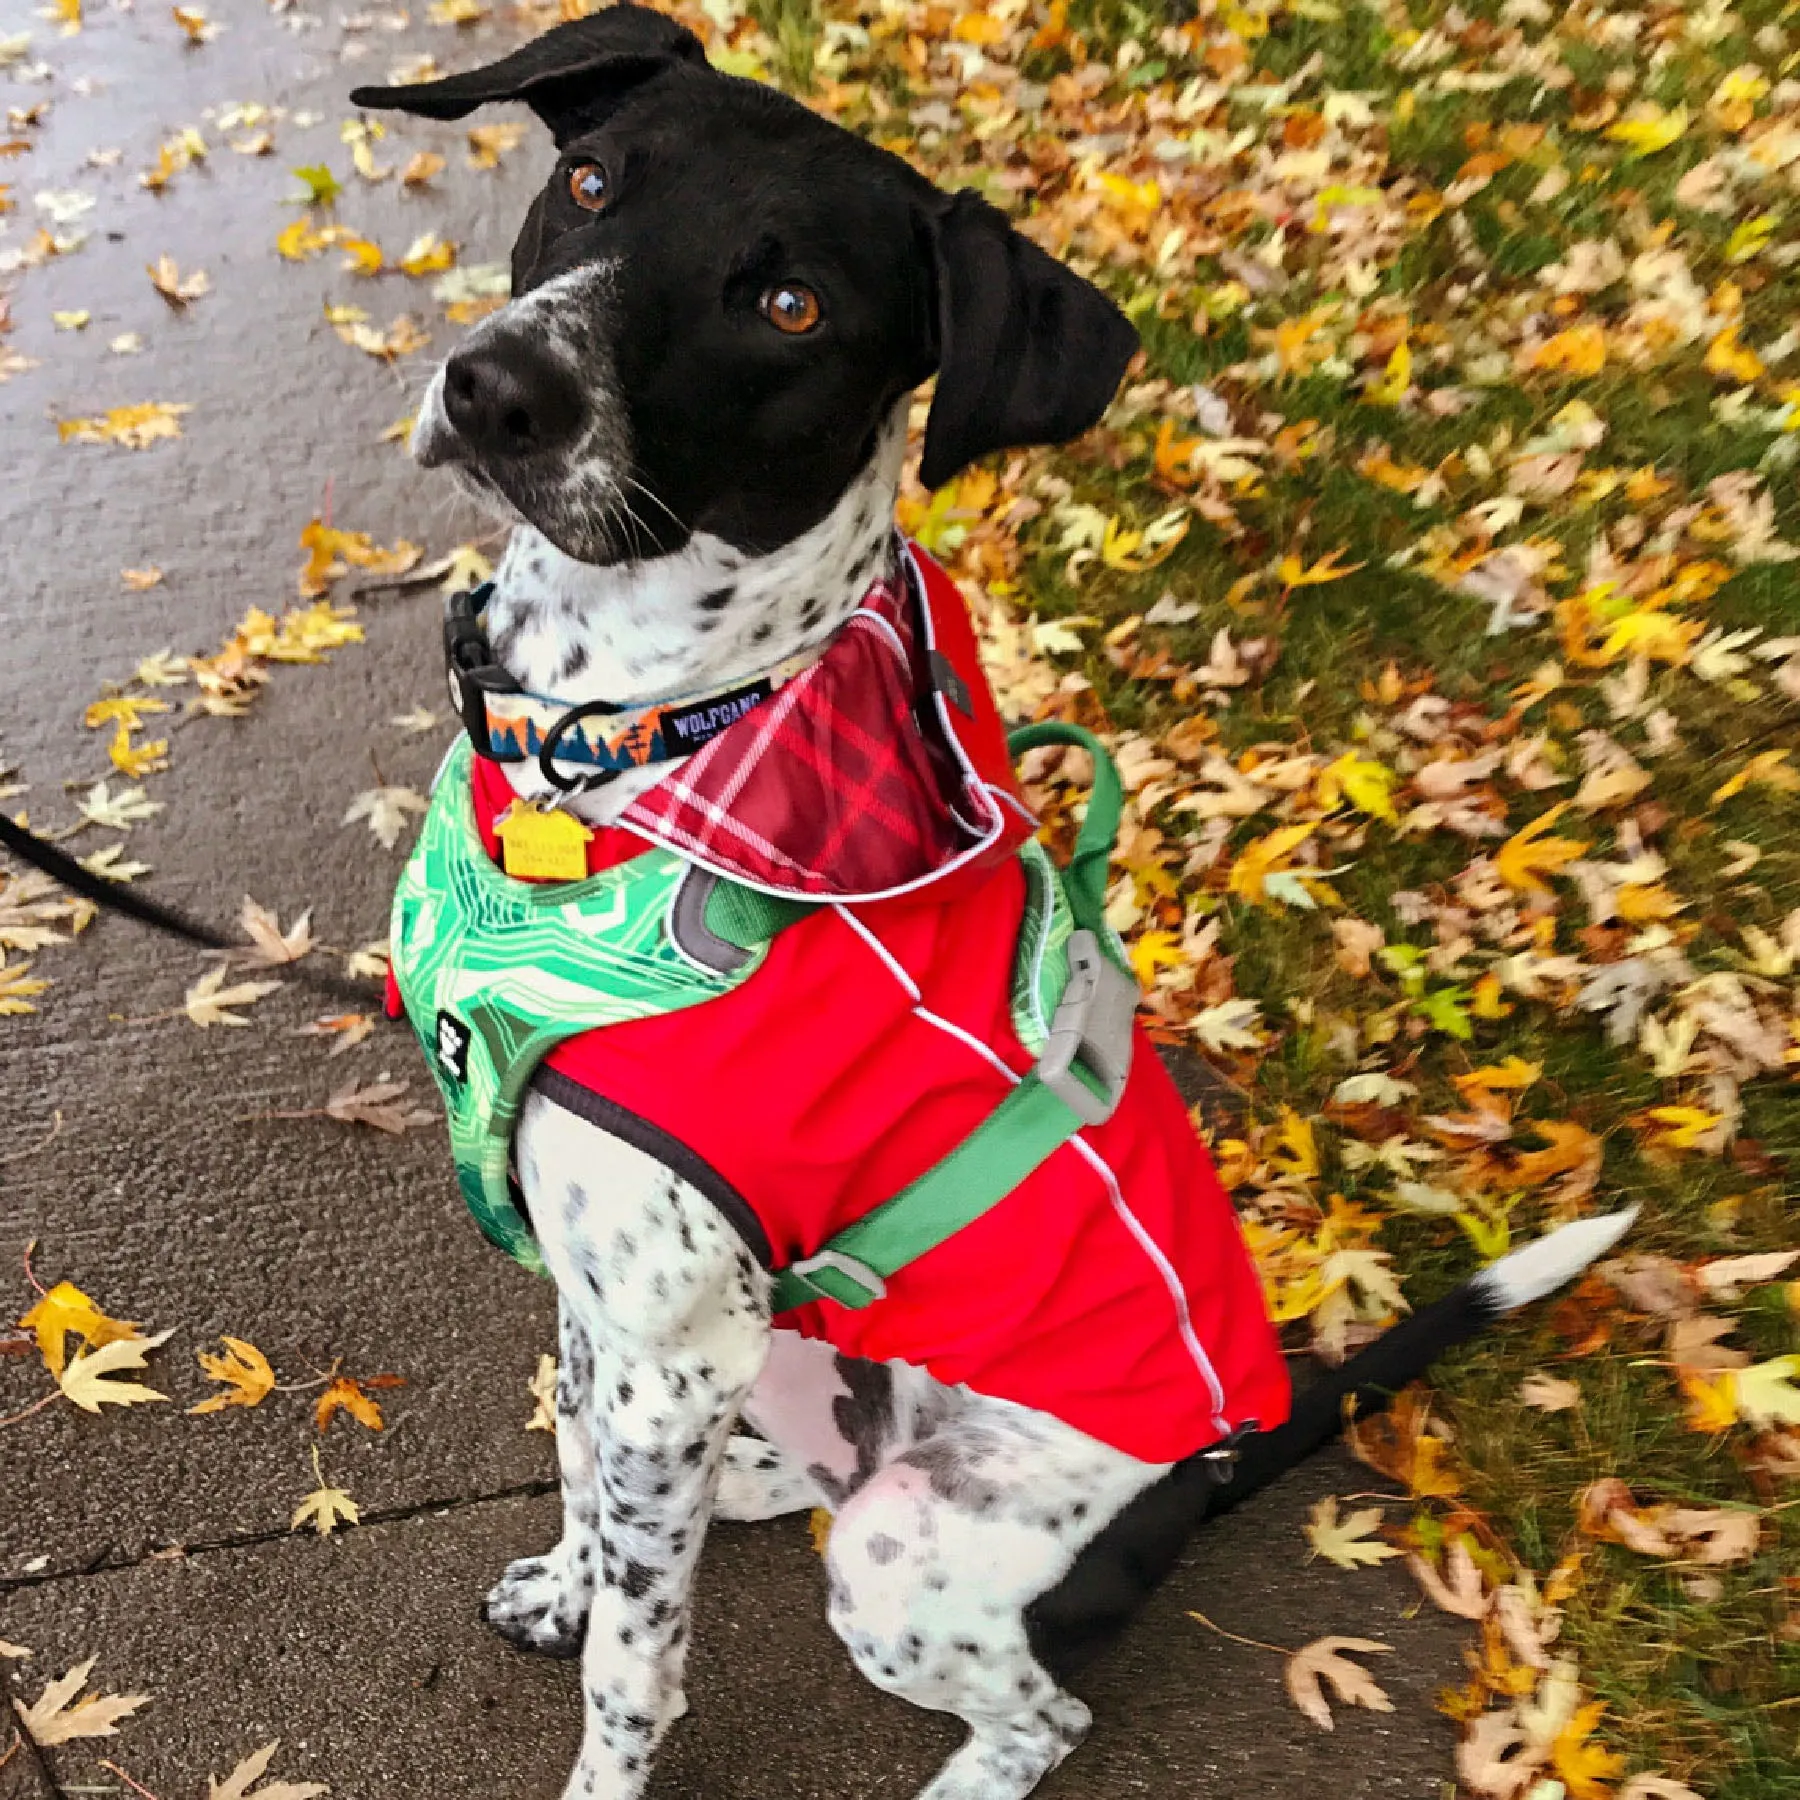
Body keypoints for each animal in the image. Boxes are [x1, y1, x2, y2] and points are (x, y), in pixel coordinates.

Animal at [351, 17, 1634, 1800]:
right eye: (592, 182)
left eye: (790, 305)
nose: (498, 390)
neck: (644, 736)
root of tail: (1213, 1475)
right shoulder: (624, 1322)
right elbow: (586, 1481)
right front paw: (567, 1576)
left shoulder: (670, 1342)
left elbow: (637, 1670)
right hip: (797, 1378)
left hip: (912, 1554)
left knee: (1038, 1712)